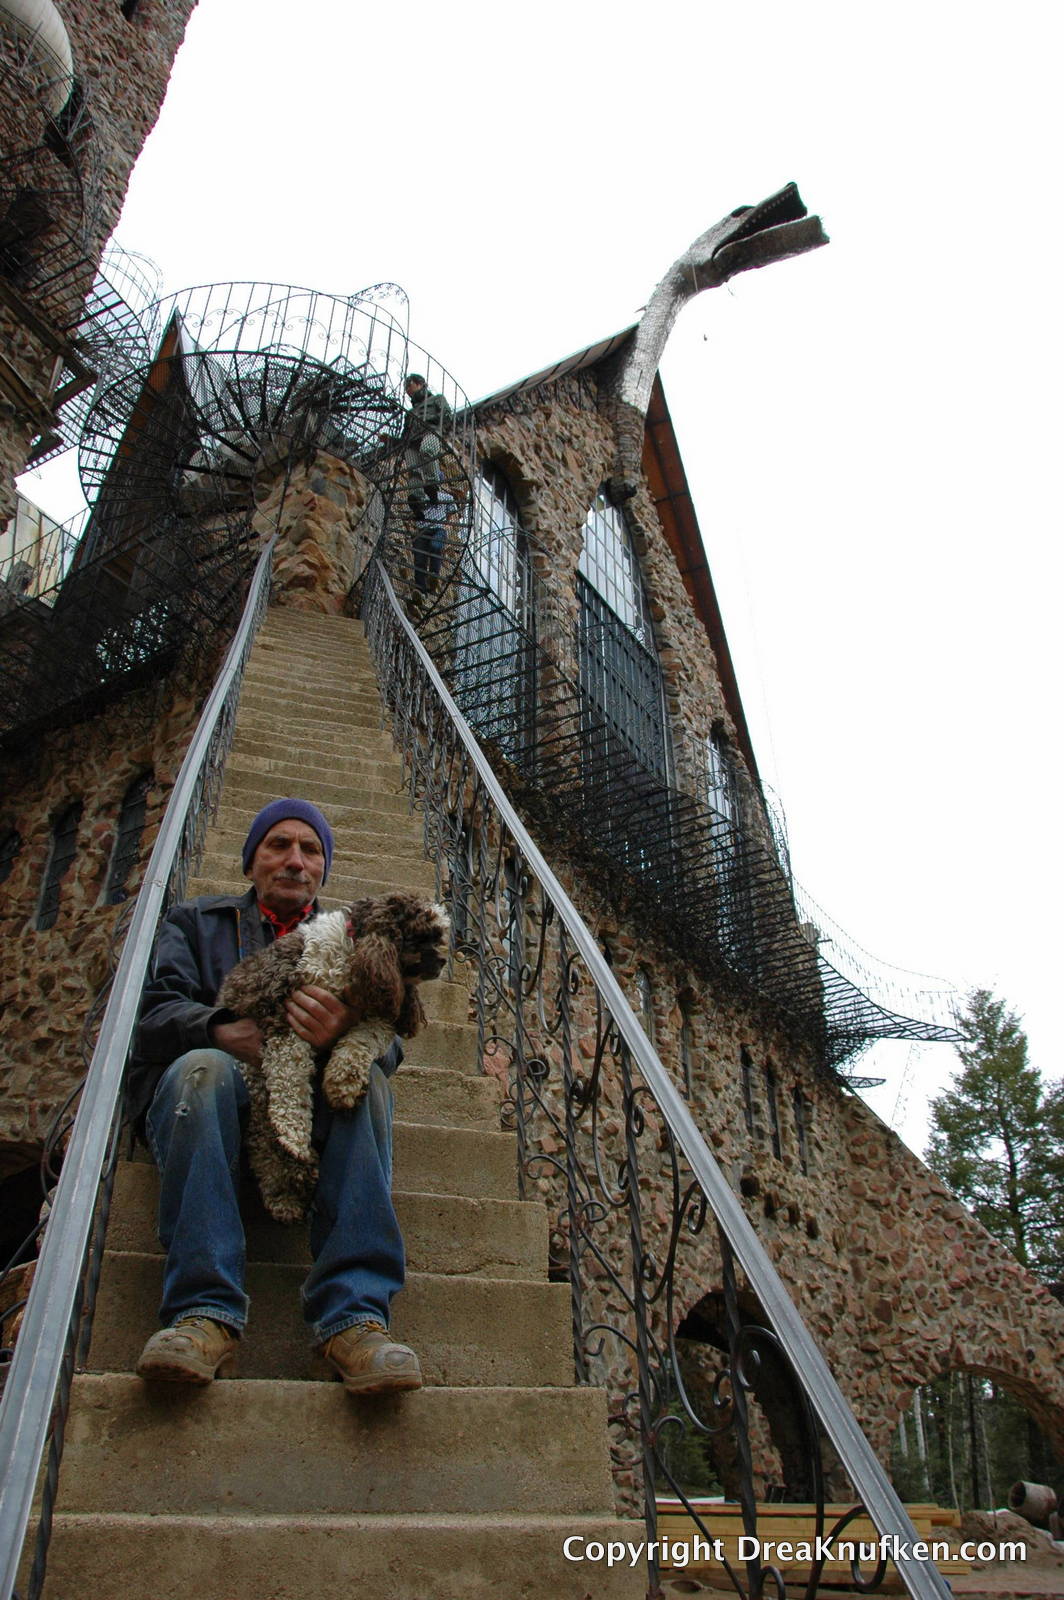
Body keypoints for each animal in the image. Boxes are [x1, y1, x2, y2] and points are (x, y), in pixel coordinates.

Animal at [216, 896, 448, 1216]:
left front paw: (344, 1085)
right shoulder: (285, 1013)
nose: (443, 961)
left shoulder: (379, 1009)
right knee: (263, 1127)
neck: (353, 951)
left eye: (438, 937)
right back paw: (291, 1171)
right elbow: (290, 1079)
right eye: (422, 936)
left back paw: (288, 1190)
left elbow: (363, 1040)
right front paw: (294, 1135)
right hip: (250, 1070)